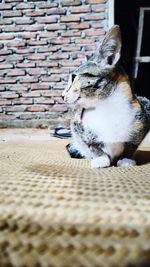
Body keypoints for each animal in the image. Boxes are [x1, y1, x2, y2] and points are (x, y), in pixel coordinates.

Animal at [61, 24, 149, 168]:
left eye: (74, 77)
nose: (62, 95)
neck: (106, 106)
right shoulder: (77, 125)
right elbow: (91, 144)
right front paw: (100, 158)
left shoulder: (143, 115)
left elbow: (132, 145)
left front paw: (126, 159)